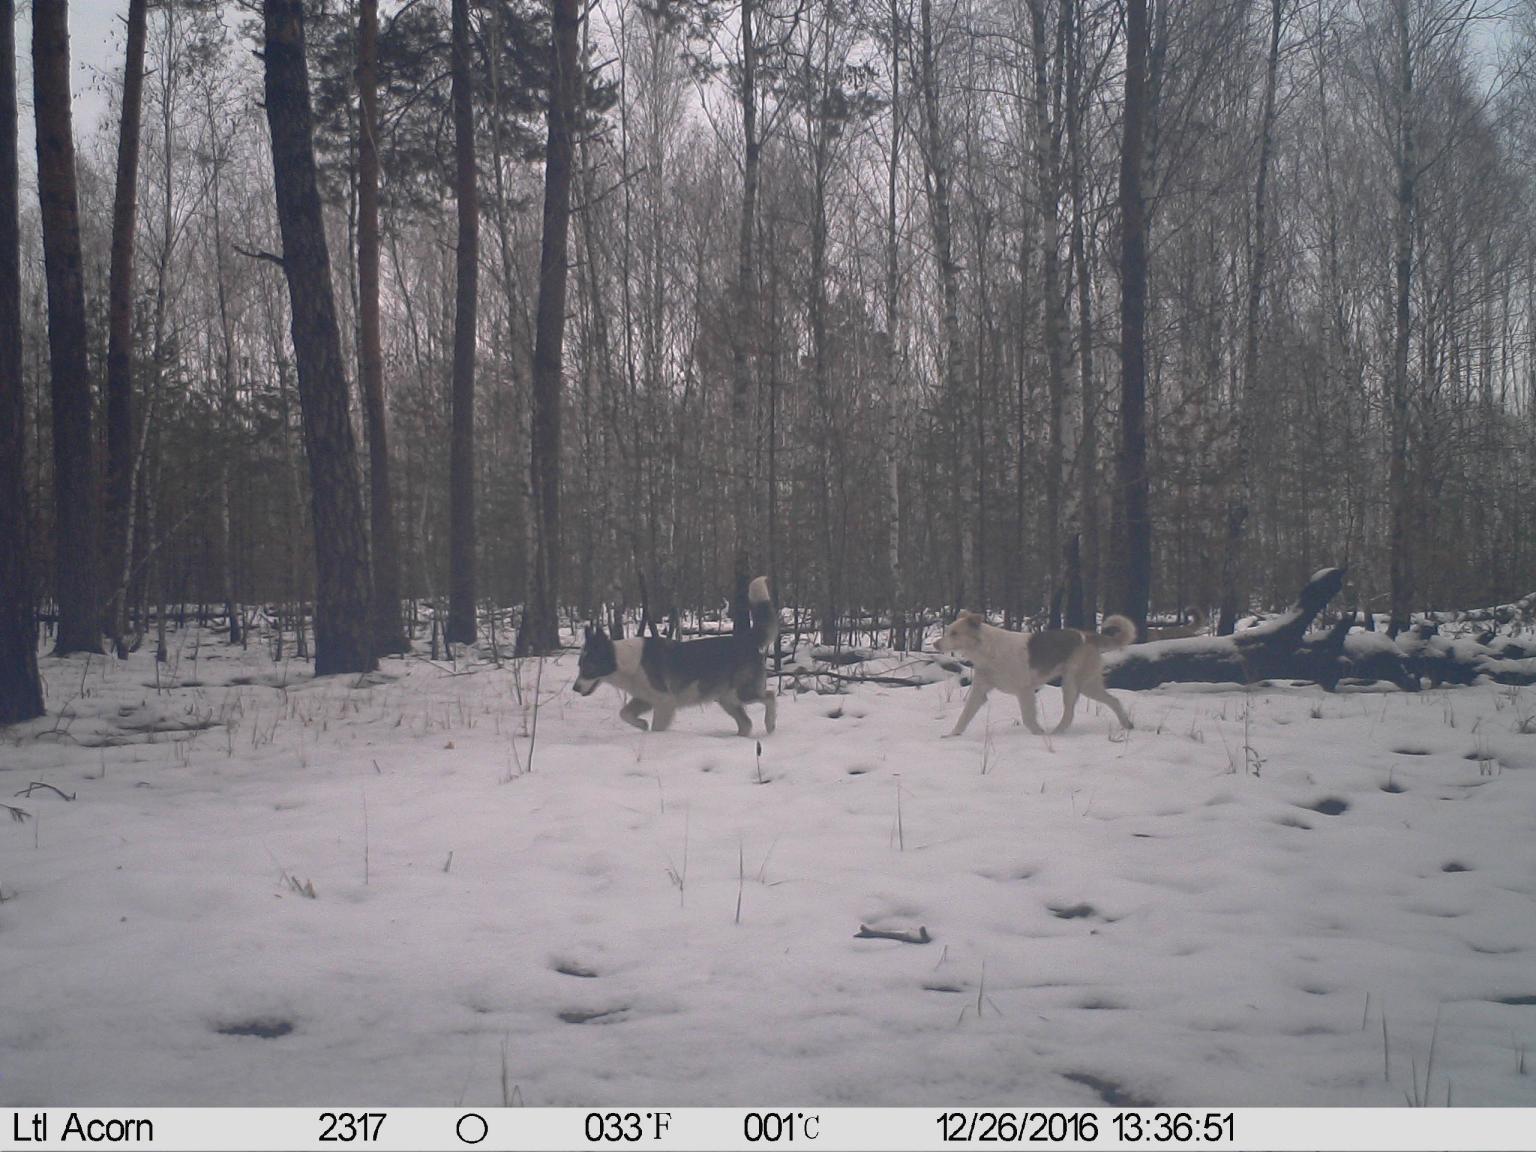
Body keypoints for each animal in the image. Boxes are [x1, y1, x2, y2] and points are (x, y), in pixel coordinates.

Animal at [571, 580, 774, 734]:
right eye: (579, 666)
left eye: (589, 667)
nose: (575, 688)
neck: (626, 661)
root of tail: (745, 640)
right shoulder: (644, 699)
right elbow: (624, 713)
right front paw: (642, 725)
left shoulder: (664, 702)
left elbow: (656, 727)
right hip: (727, 699)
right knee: (746, 723)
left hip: (743, 692)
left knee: (770, 697)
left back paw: (770, 725)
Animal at [927, 614, 1136, 740]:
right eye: (949, 631)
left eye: (955, 633)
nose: (935, 645)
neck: (988, 652)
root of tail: (1088, 636)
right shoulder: (979, 692)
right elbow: (964, 716)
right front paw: (952, 735)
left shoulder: (1025, 691)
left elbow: (1028, 717)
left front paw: (1038, 733)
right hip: (1088, 686)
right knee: (1114, 700)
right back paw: (1127, 725)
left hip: (1073, 683)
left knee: (1070, 713)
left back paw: (1055, 734)